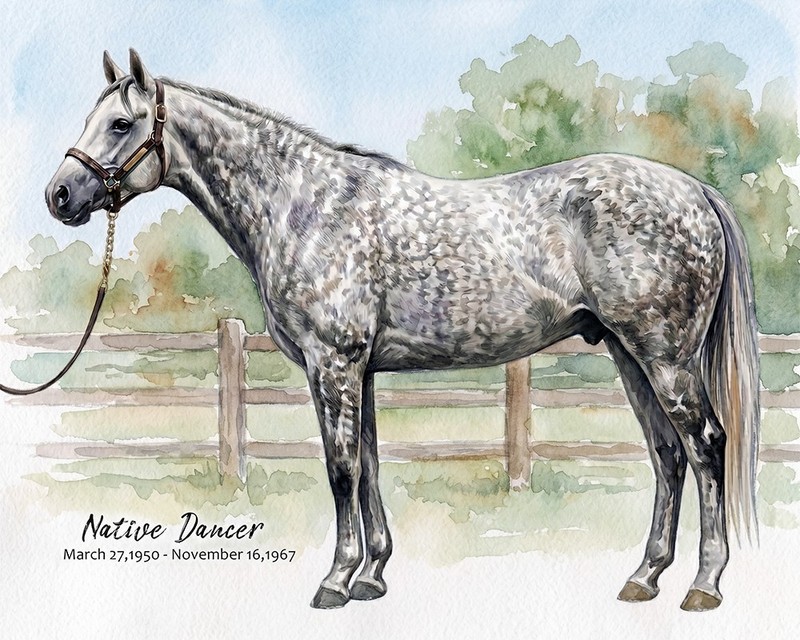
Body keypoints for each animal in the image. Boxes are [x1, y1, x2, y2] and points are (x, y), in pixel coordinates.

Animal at [45, 50, 760, 611]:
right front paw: (373, 575)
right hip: (627, 353)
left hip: (664, 356)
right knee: (667, 455)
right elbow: (368, 466)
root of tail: (695, 192)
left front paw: (334, 581)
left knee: (705, 446)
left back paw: (704, 585)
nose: (60, 196)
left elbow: (340, 470)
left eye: (120, 123)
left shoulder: (333, 364)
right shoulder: (354, 370)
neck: (301, 204)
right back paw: (644, 577)